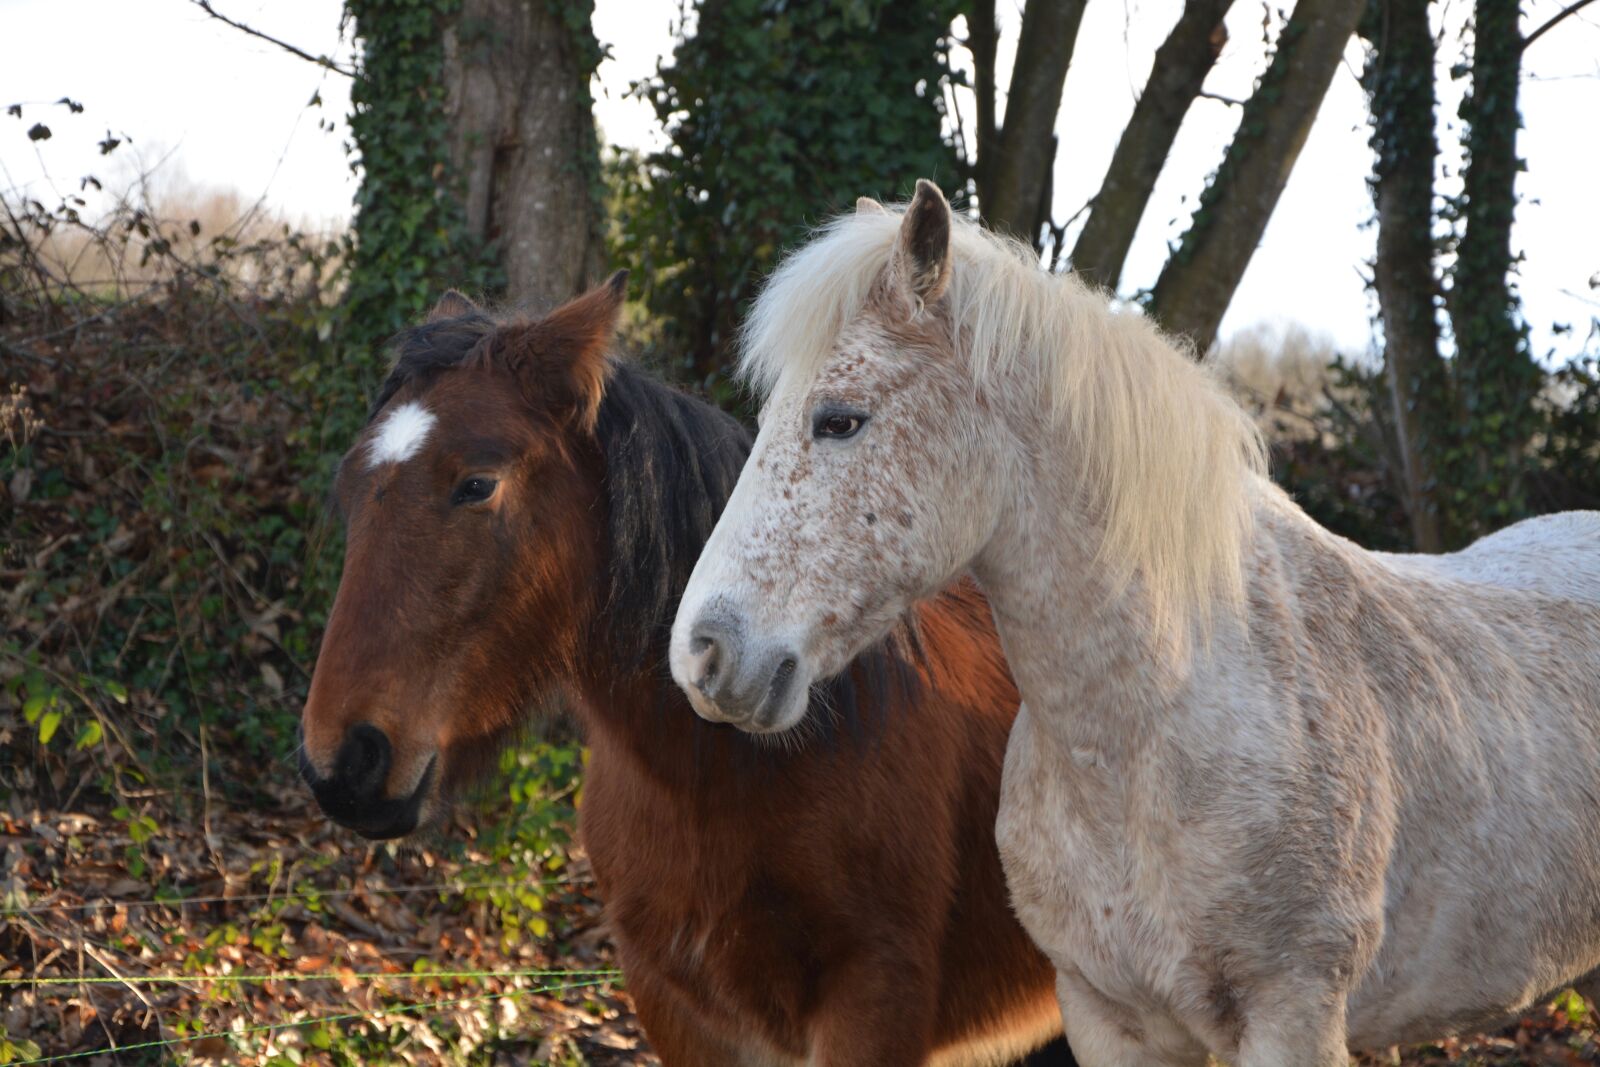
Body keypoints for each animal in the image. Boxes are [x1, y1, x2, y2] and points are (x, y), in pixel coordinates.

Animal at [296, 275, 1077, 1066]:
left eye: (478, 484)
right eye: (351, 488)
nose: (344, 761)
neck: (724, 776)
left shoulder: (875, 1003)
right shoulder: (672, 1001)